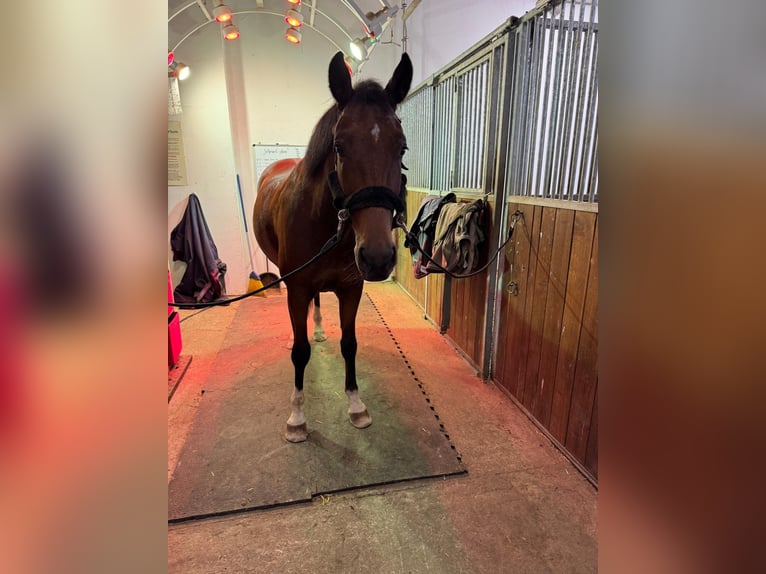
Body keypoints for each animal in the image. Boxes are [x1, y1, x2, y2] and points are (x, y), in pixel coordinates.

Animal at [253, 52, 412, 443]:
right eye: (339, 147)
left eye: (401, 147)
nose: (377, 257)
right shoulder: (296, 287)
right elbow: (300, 351)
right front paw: (297, 417)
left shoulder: (351, 288)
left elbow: (349, 343)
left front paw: (356, 405)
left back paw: (321, 328)